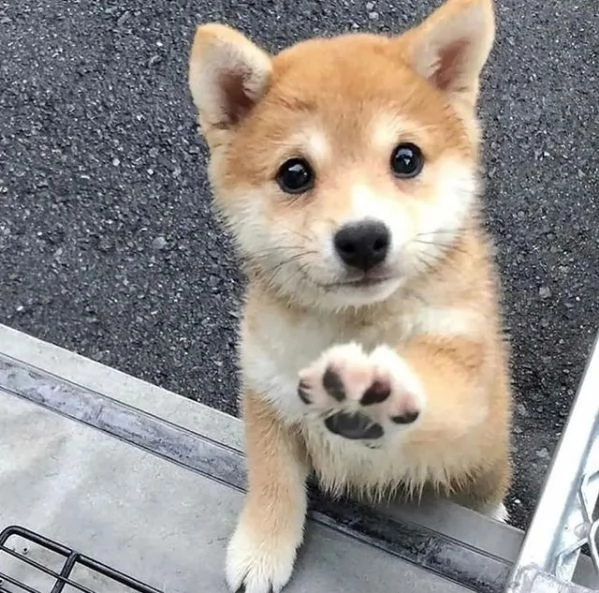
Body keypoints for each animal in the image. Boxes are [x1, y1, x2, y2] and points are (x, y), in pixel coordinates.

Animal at [188, 2, 510, 588]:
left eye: (406, 159)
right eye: (295, 173)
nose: (363, 238)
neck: (351, 322)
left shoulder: (461, 378)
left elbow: (436, 394)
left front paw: (379, 385)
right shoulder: (265, 390)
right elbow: (272, 479)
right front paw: (261, 549)